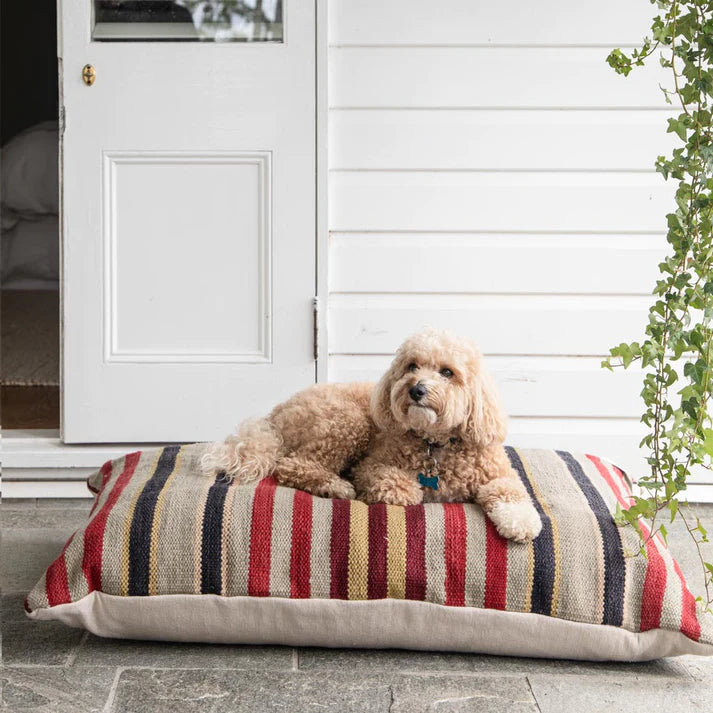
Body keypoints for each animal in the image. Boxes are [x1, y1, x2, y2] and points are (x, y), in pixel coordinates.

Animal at [203, 330, 544, 544]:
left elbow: (511, 492)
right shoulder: (372, 466)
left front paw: (521, 521)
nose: (416, 389)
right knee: (292, 465)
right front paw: (411, 490)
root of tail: (277, 414)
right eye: (412, 366)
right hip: (346, 422)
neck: (436, 444)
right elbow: (402, 486)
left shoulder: (499, 473)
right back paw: (336, 485)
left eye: (447, 372)